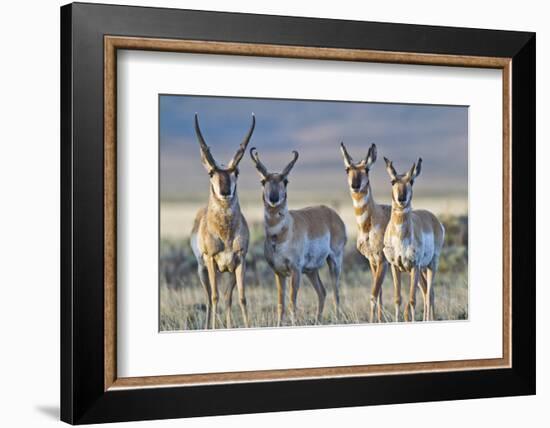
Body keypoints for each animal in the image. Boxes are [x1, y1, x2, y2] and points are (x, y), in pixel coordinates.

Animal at [192, 113, 256, 328]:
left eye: (236, 172)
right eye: (211, 172)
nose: (225, 191)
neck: (225, 233)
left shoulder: (239, 261)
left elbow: (241, 298)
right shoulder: (211, 261)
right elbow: (214, 298)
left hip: (227, 271)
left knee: (228, 297)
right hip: (203, 270)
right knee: (209, 297)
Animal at [251, 147, 348, 324]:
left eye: (285, 181)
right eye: (263, 181)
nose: (274, 198)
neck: (279, 236)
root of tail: (332, 213)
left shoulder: (295, 270)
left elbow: (292, 301)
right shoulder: (279, 273)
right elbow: (281, 303)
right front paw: (279, 324)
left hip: (334, 262)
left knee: (336, 292)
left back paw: (336, 318)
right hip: (311, 271)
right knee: (322, 292)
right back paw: (317, 320)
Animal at [338, 142, 394, 322]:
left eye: (367, 169)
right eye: (347, 169)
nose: (355, 185)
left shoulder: (382, 261)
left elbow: (373, 295)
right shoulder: (372, 261)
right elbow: (380, 293)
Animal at [386, 157, 446, 320]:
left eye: (411, 181)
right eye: (392, 181)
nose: (401, 198)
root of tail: (433, 219)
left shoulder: (414, 266)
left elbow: (412, 300)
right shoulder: (395, 267)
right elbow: (397, 299)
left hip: (431, 265)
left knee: (429, 294)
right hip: (422, 270)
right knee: (427, 292)